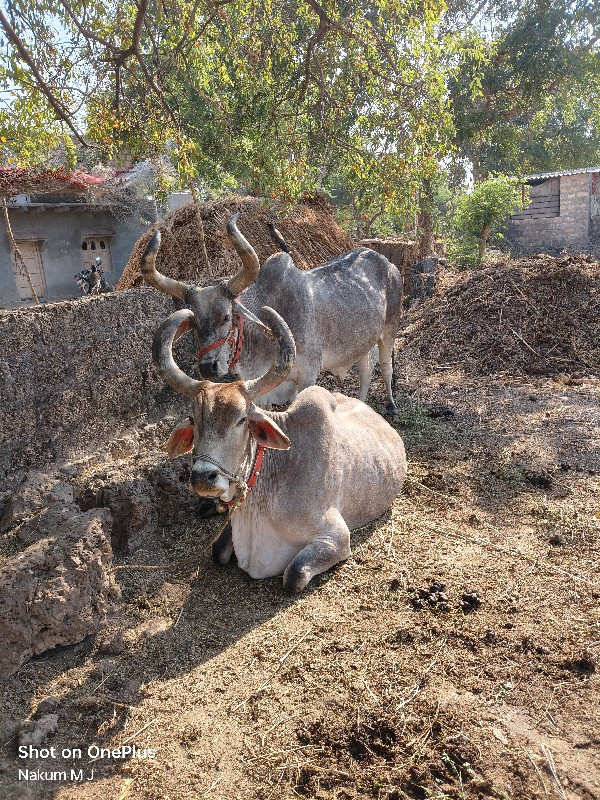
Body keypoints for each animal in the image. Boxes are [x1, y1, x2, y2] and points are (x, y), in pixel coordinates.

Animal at [141, 211, 404, 412]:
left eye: (226, 317)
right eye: (194, 324)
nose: (208, 367)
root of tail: (386, 262)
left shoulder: (308, 375)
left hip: (390, 329)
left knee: (385, 366)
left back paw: (391, 405)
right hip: (363, 341)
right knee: (366, 371)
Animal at [154, 304, 408, 592]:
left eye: (241, 419)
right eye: (194, 419)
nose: (202, 477)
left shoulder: (337, 538)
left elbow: (293, 576)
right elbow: (217, 550)